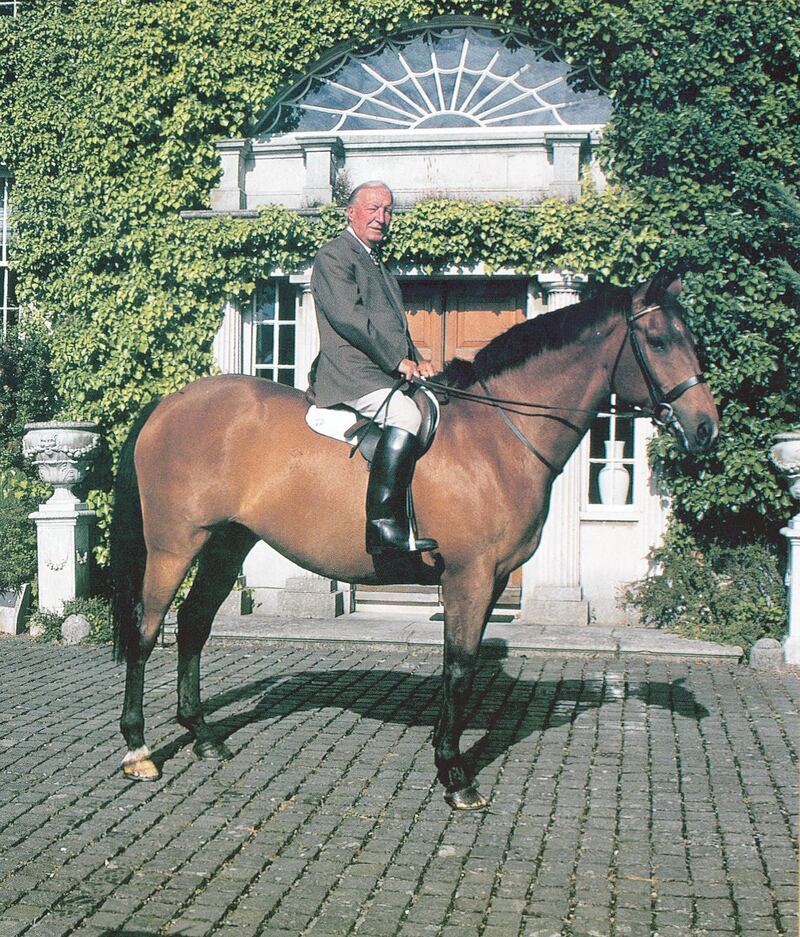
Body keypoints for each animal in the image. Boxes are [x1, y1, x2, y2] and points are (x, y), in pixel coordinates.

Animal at [110, 270, 718, 809]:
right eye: (659, 340)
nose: (706, 428)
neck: (497, 436)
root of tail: (169, 404)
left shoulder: (492, 581)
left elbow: (460, 667)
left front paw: (446, 757)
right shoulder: (470, 576)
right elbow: (460, 668)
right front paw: (455, 774)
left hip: (225, 543)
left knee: (193, 625)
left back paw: (204, 736)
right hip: (174, 547)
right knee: (146, 632)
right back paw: (139, 751)